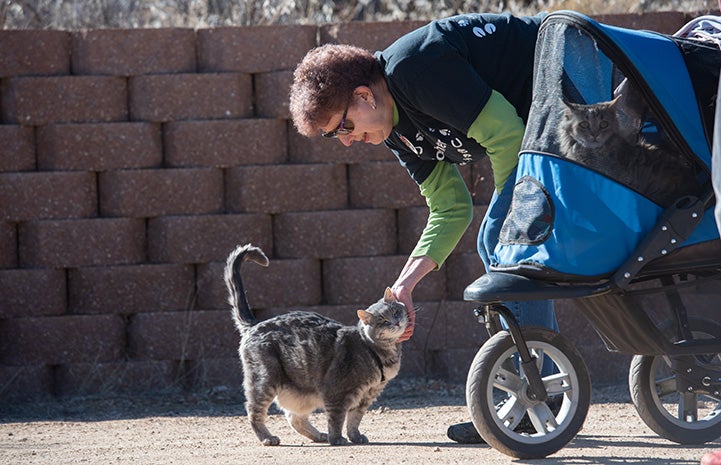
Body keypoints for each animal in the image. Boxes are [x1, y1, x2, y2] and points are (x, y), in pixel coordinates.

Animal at [222, 245, 408, 444]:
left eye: (395, 312)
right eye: (383, 321)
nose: (396, 322)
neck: (373, 349)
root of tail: (254, 324)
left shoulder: (366, 396)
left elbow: (354, 419)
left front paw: (355, 436)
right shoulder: (337, 392)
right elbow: (337, 418)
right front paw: (337, 439)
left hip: (301, 394)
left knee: (295, 419)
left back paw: (319, 436)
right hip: (264, 381)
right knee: (254, 412)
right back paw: (267, 438)